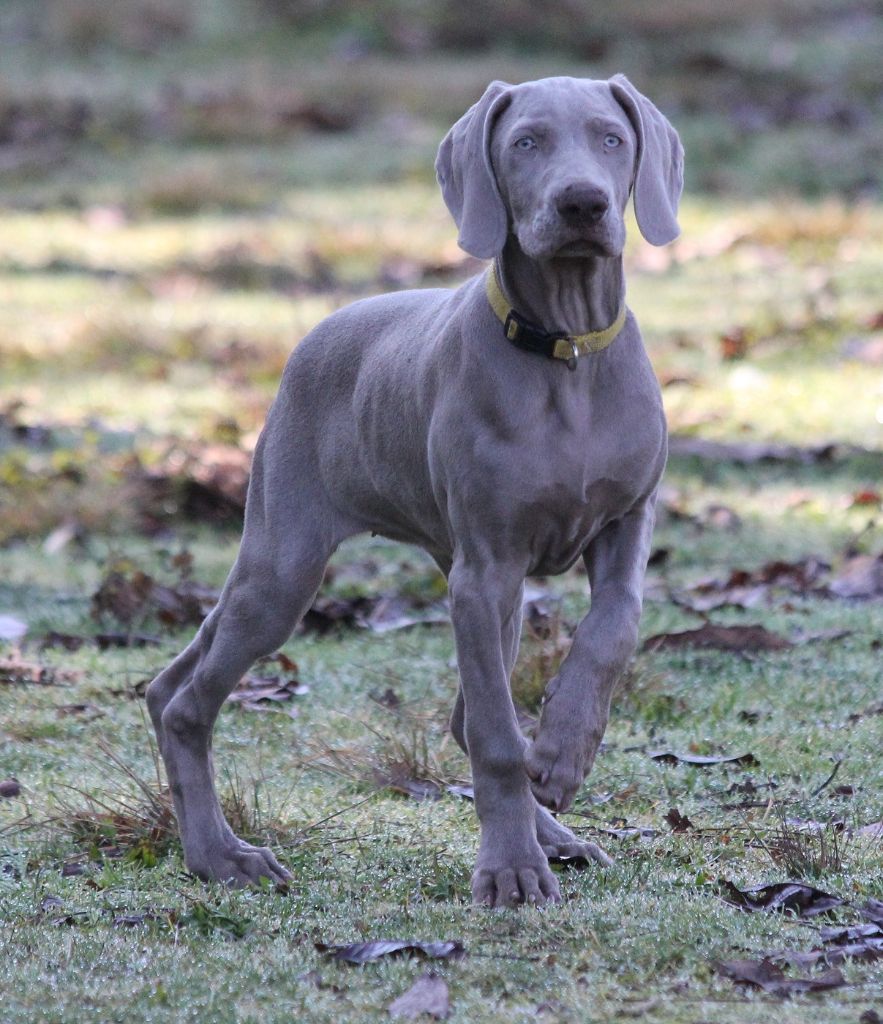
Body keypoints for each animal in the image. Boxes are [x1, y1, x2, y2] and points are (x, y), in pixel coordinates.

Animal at [146, 77, 684, 913]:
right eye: (525, 142)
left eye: (610, 138)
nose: (583, 204)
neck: (564, 355)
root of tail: (321, 329)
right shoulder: (484, 570)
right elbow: (496, 738)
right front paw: (508, 870)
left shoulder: (624, 525)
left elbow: (612, 626)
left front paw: (563, 752)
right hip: (289, 564)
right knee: (188, 701)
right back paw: (220, 856)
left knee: (175, 680)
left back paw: (554, 831)